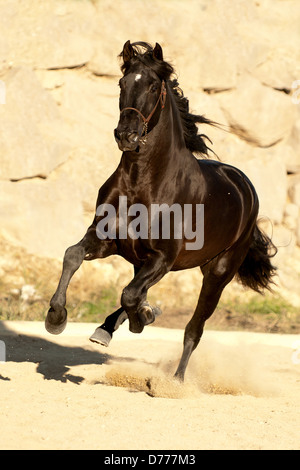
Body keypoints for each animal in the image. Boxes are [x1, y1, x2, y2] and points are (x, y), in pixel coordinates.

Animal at [46, 41, 276, 382]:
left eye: (154, 86)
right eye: (122, 83)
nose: (126, 135)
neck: (143, 184)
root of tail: (244, 186)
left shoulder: (163, 258)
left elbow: (130, 296)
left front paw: (142, 318)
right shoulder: (108, 241)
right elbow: (73, 255)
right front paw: (56, 317)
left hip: (218, 273)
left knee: (193, 327)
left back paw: (175, 380)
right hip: (143, 261)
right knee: (135, 290)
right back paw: (112, 327)